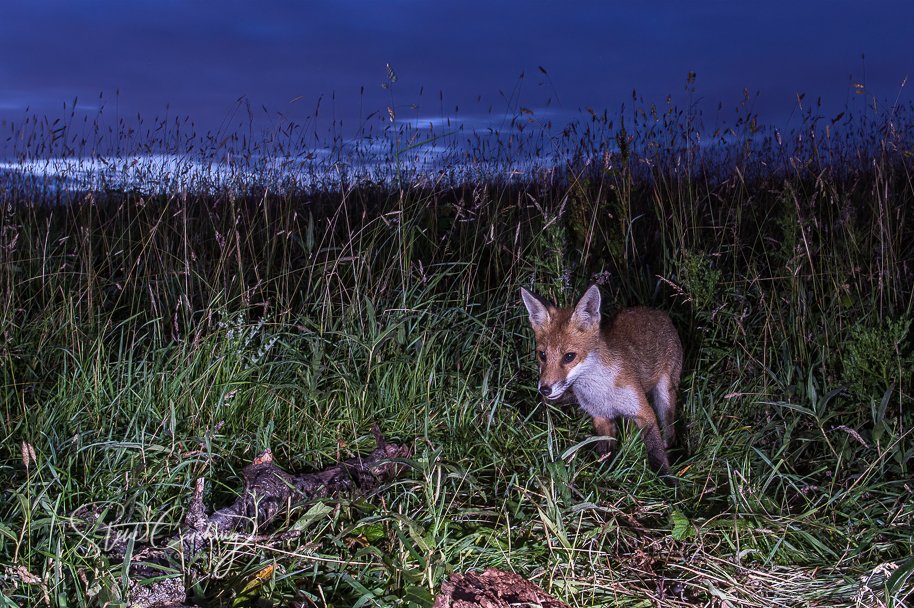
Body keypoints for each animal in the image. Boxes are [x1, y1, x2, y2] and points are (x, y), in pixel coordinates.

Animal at [520, 284, 683, 482]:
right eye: (542, 355)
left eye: (569, 357)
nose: (544, 389)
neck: (600, 391)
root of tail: (658, 311)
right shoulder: (600, 417)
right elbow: (605, 454)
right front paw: (604, 478)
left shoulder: (644, 412)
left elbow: (656, 453)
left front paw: (668, 482)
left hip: (665, 394)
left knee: (669, 432)